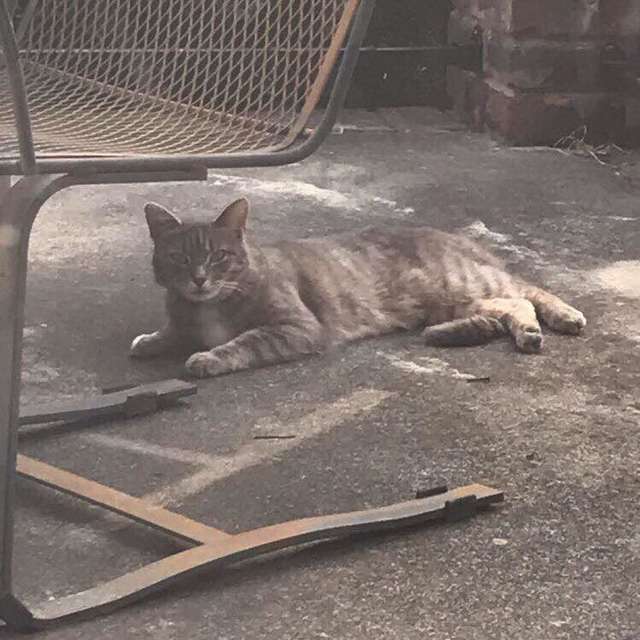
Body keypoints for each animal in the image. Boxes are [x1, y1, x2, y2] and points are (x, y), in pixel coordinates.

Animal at [130, 199, 584, 380]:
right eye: (179, 258)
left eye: (218, 256)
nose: (199, 278)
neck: (207, 306)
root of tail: (459, 237)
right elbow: (170, 331)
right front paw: (151, 339)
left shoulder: (296, 328)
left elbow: (242, 342)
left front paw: (208, 357)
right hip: (458, 301)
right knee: (510, 305)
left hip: (465, 281)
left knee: (528, 292)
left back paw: (559, 319)